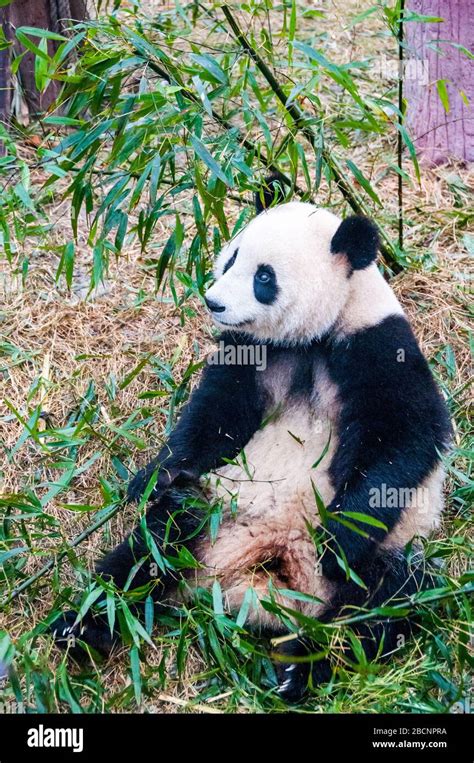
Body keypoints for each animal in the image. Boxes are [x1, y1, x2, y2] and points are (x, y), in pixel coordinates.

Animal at [51, 182, 452, 700]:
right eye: (231, 258)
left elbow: (403, 442)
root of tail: (256, 584)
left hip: (388, 555)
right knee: (154, 543)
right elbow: (215, 418)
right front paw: (150, 476)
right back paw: (84, 626)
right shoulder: (252, 353)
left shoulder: (379, 346)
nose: (214, 302)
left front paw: (337, 541)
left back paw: (300, 668)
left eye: (265, 277)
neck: (317, 333)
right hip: (213, 512)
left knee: (382, 604)